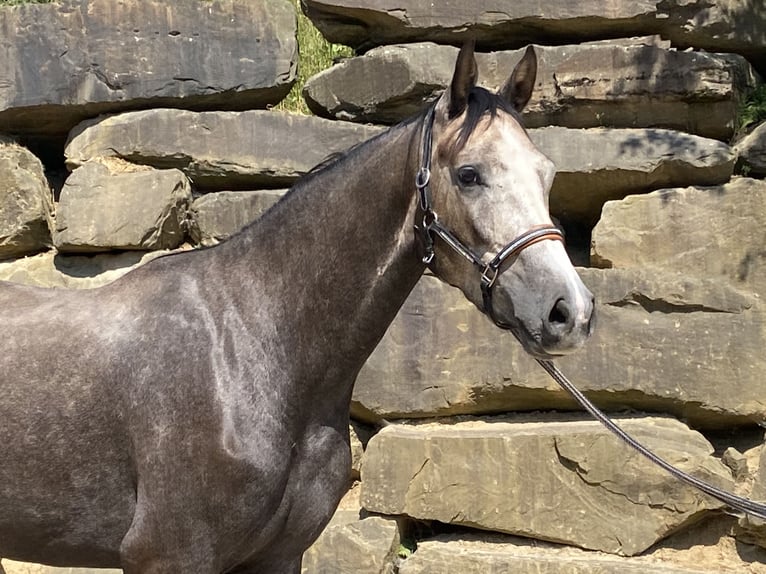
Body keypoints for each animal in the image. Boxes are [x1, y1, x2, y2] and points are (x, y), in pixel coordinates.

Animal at [0, 44, 592, 574]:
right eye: (469, 174)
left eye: (546, 172)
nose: (570, 312)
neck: (251, 349)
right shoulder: (168, 558)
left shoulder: (278, 557)